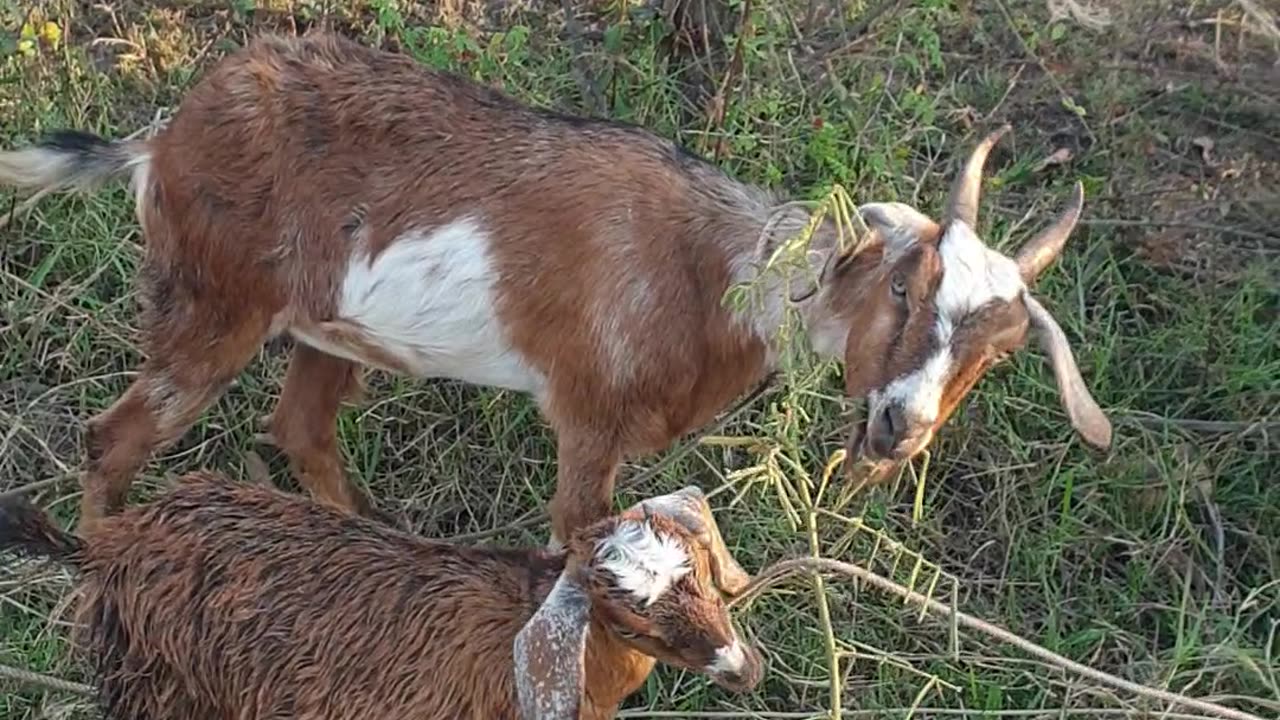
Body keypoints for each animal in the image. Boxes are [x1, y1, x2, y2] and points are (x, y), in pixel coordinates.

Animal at [0, 33, 1112, 549]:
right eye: (905, 285)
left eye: (997, 354)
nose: (896, 428)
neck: (711, 275)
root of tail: (162, 140)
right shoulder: (589, 417)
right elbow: (580, 553)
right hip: (213, 304)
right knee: (114, 438)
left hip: (325, 326)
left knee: (300, 429)